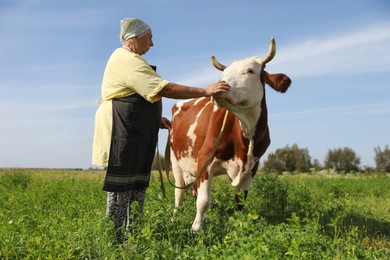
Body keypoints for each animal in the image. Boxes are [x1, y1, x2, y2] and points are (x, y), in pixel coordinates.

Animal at [169, 37, 290, 231]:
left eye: (250, 71)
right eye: (224, 73)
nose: (220, 86)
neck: (246, 136)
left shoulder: (252, 168)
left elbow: (239, 203)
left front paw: (239, 227)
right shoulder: (205, 159)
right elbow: (203, 201)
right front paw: (196, 228)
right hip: (176, 162)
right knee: (178, 194)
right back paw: (174, 219)